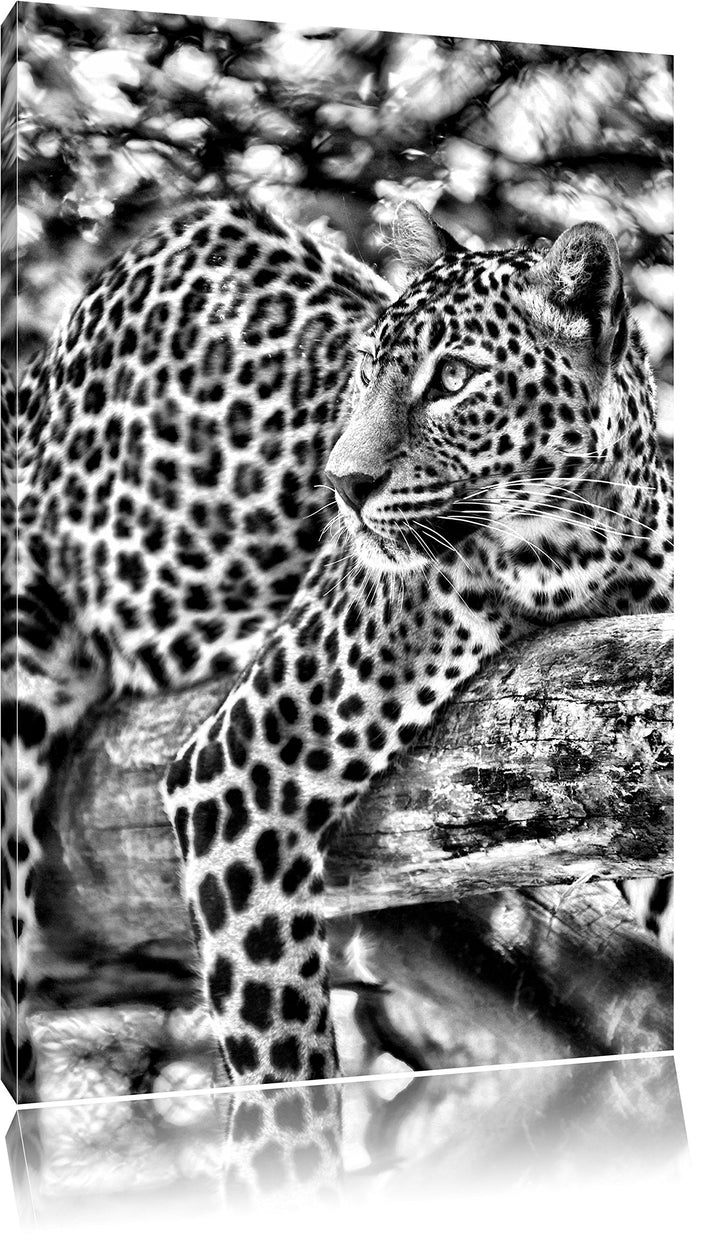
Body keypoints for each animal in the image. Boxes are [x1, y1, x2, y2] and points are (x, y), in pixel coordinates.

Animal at [1, 196, 673, 1124]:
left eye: (453, 377)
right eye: (364, 370)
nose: (343, 483)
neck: (582, 550)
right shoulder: (237, 768)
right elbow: (282, 1064)